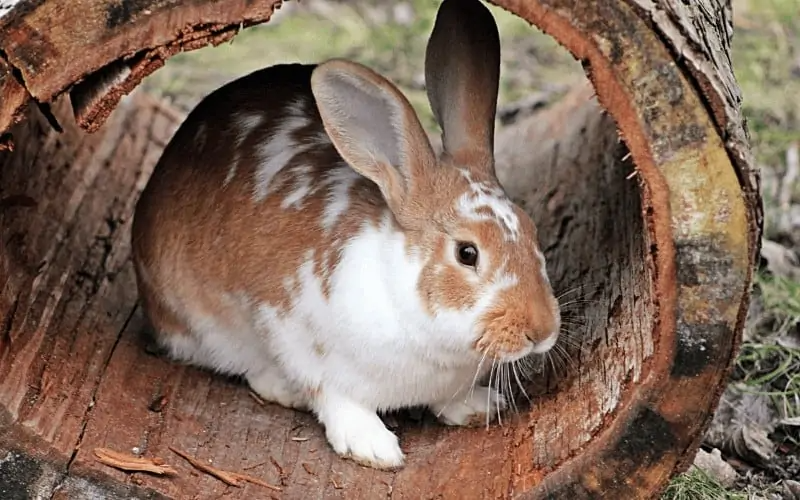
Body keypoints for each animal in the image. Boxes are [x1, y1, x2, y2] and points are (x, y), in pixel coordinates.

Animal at [131, 0, 560, 470]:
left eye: (531, 229)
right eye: (467, 253)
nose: (542, 330)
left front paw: (478, 406)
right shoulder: (300, 341)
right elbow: (335, 398)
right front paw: (374, 448)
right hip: (202, 322)